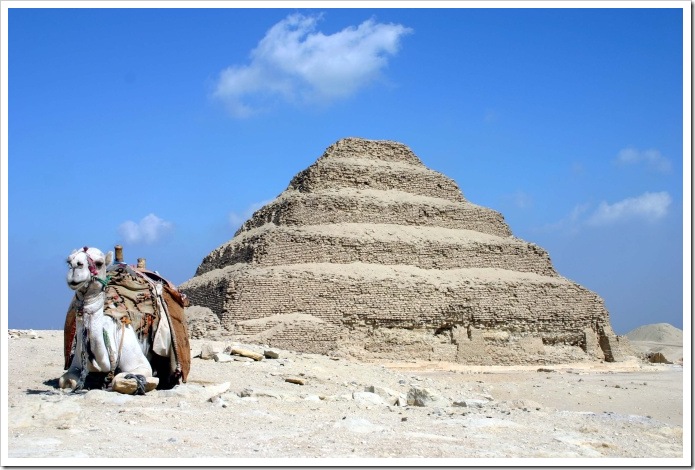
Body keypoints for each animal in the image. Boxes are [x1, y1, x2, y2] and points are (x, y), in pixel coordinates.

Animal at [59, 248, 189, 394]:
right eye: (69, 261)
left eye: (99, 263)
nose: (75, 267)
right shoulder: (75, 365)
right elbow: (65, 381)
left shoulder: (140, 364)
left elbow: (120, 379)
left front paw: (148, 383)